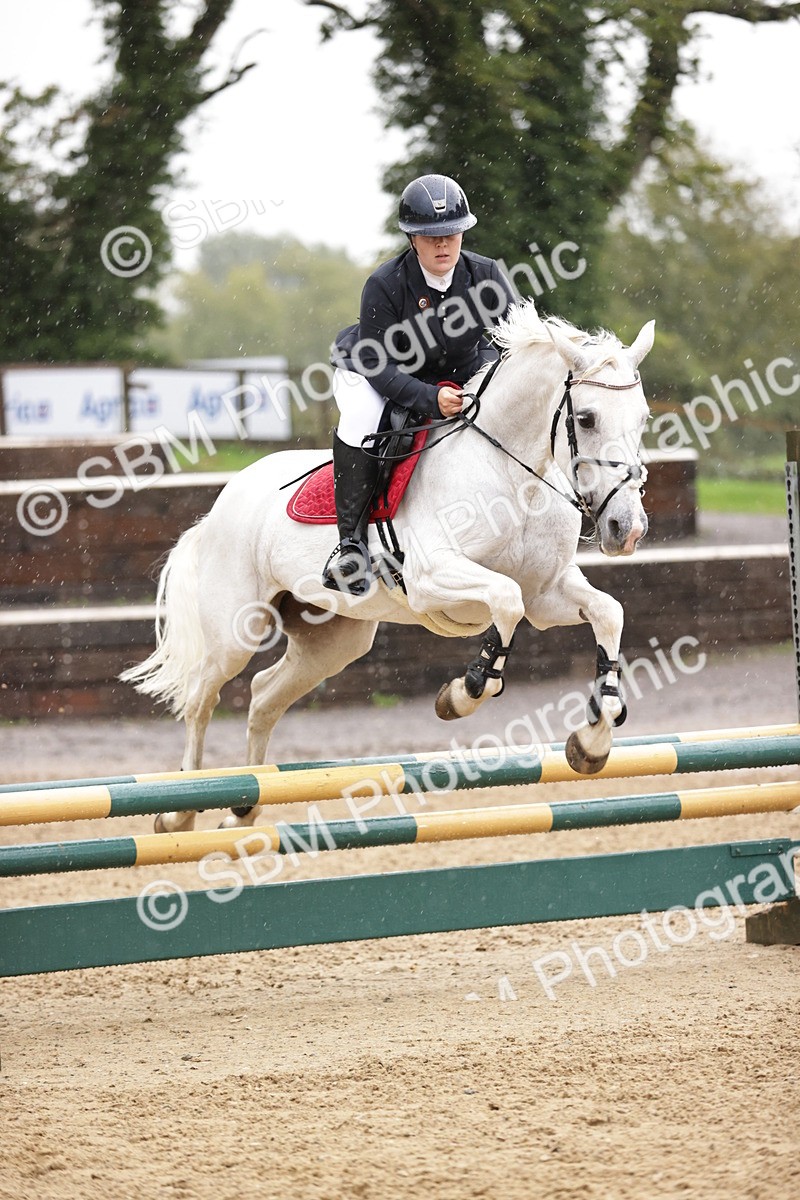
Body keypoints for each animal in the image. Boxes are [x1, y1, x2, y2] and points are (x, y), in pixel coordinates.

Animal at [121, 300, 654, 833]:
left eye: (644, 417)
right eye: (586, 418)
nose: (626, 529)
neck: (513, 475)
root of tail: (221, 503)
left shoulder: (545, 593)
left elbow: (607, 612)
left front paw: (595, 737)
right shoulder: (431, 579)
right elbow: (505, 601)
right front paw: (464, 692)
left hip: (333, 640)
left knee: (264, 695)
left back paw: (244, 809)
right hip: (236, 630)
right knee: (201, 698)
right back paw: (181, 813)